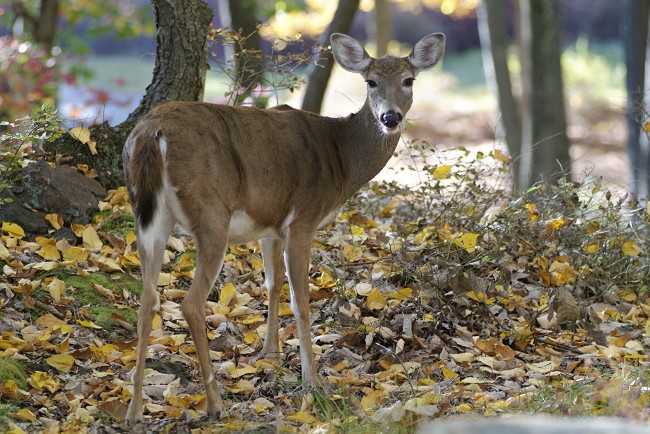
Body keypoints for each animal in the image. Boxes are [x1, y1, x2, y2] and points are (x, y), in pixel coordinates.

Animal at [121, 31, 442, 424]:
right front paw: (312, 382)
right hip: (211, 214)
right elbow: (300, 299)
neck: (342, 159)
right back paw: (215, 403)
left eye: (409, 80)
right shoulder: (303, 218)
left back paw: (134, 410)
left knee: (147, 299)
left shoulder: (269, 225)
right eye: (371, 81)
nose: (390, 117)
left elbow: (272, 285)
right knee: (191, 304)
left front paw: (269, 354)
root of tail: (151, 134)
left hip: (147, 216)